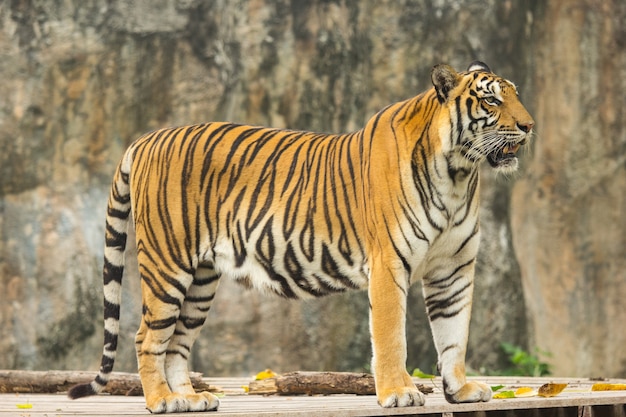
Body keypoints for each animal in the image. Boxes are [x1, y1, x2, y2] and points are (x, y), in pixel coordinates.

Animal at [70, 60, 532, 412]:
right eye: (492, 100)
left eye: (516, 95)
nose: (529, 126)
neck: (458, 173)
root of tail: (147, 138)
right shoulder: (389, 265)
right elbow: (391, 336)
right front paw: (398, 392)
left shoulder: (453, 269)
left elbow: (454, 334)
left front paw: (460, 390)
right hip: (169, 265)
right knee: (147, 337)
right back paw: (162, 401)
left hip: (200, 280)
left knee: (178, 342)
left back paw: (189, 399)